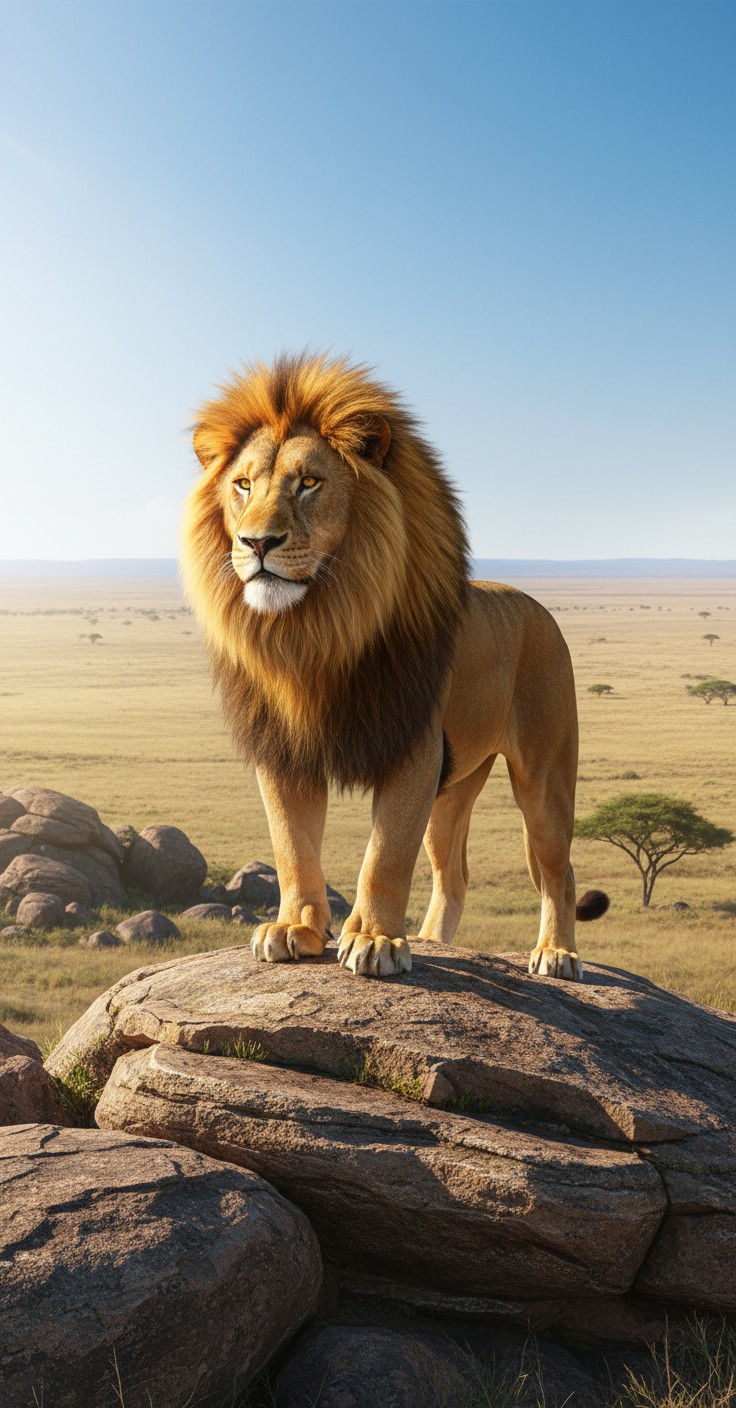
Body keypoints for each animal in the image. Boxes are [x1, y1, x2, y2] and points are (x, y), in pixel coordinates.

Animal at [181, 352, 608, 980]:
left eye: (309, 483)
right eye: (243, 484)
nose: (256, 542)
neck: (316, 631)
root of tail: (533, 604)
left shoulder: (414, 748)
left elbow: (384, 854)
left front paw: (375, 940)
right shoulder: (284, 750)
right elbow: (292, 846)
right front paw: (296, 928)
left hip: (544, 773)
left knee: (558, 869)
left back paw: (556, 954)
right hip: (454, 786)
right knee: (453, 875)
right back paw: (435, 942)